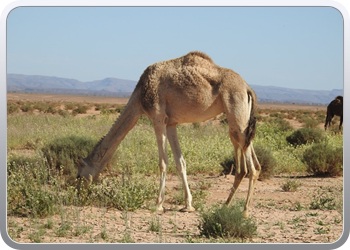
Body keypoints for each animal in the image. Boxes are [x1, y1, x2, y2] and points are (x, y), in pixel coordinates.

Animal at [78, 50, 262, 217]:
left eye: (80, 173)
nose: (78, 192)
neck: (140, 96)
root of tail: (248, 88)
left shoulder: (158, 117)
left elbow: (163, 162)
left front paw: (158, 204)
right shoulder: (171, 123)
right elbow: (180, 162)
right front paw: (188, 205)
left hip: (236, 114)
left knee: (250, 167)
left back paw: (244, 211)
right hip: (241, 122)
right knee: (250, 159)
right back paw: (226, 205)